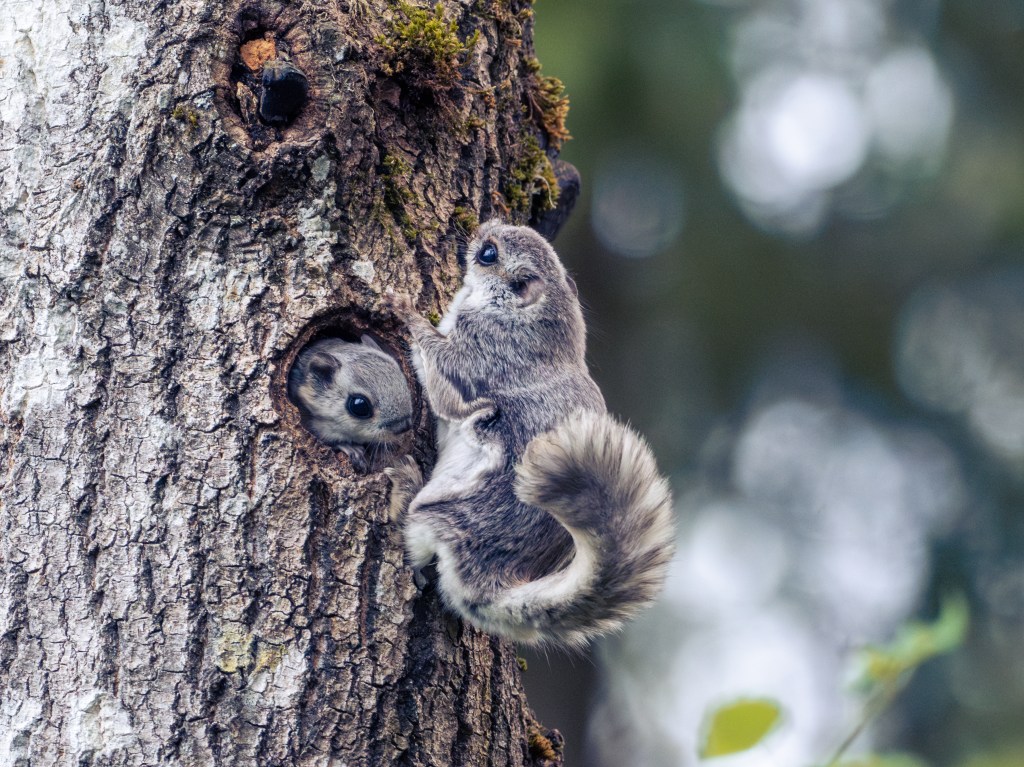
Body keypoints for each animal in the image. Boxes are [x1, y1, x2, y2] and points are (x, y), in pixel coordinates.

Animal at [386, 221, 675, 648]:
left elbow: (445, 386)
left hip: (441, 514)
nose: (480, 227)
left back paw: (404, 484)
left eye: (489, 254)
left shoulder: (480, 358)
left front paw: (405, 312)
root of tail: (488, 585)